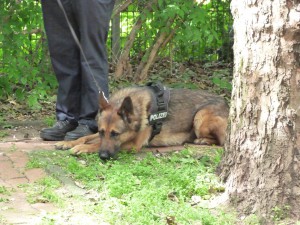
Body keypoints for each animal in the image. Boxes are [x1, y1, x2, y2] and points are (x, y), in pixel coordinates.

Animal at [55, 83, 229, 160]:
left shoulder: (132, 144)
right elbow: (86, 137)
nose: (103, 156)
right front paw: (68, 142)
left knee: (221, 140)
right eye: (102, 131)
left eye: (116, 134)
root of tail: (228, 104)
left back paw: (203, 140)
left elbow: (95, 143)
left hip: (200, 116)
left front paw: (83, 147)